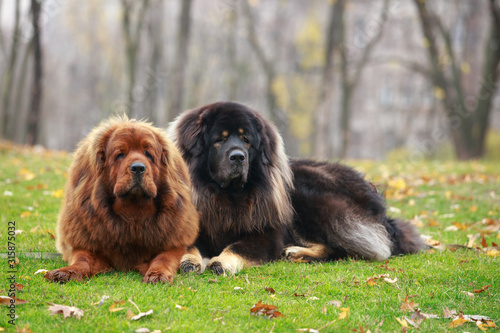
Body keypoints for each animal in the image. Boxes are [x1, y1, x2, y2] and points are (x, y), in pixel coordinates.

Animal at [44, 115, 197, 282]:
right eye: (120, 154)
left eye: (148, 154)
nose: (138, 168)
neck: (133, 216)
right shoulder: (86, 244)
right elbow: (82, 259)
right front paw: (67, 272)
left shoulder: (174, 244)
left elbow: (164, 258)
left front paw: (157, 274)